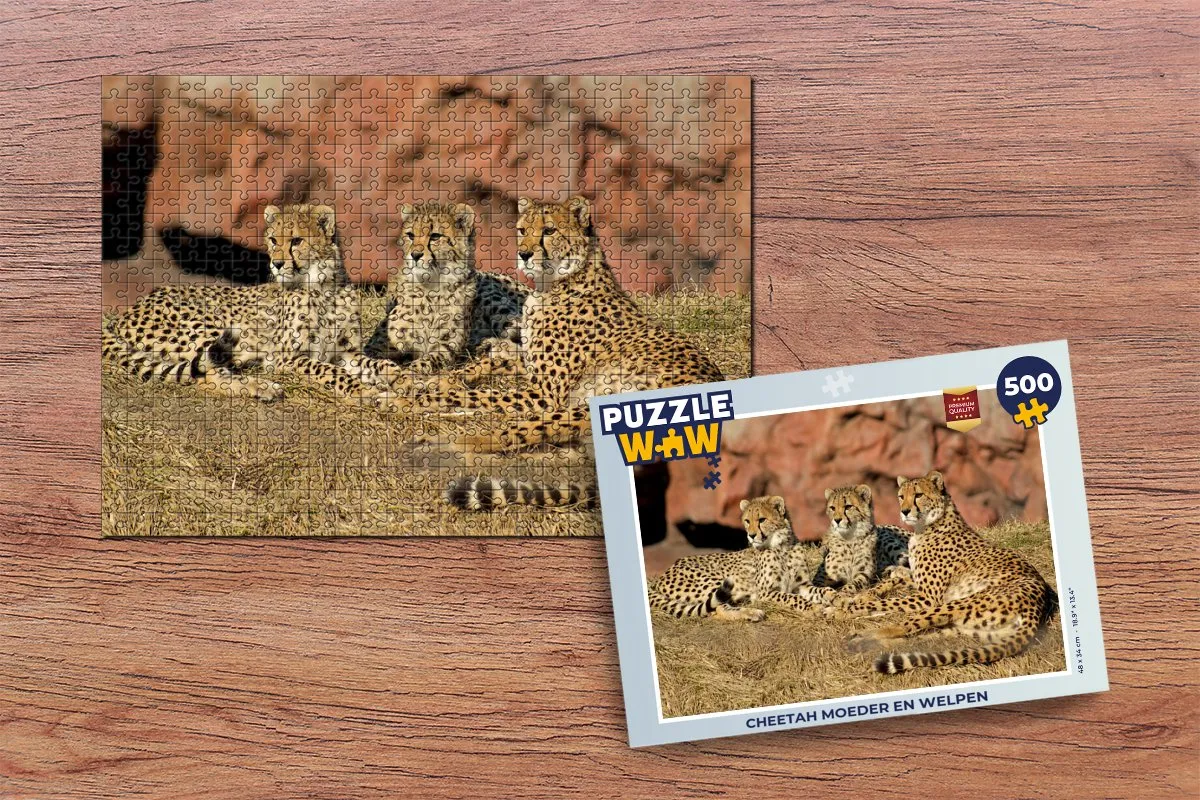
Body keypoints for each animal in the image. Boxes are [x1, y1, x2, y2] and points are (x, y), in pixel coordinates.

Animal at [102, 204, 400, 400]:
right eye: (273, 239)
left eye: (297, 240)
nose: (277, 264)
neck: (323, 287)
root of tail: (131, 308)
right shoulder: (285, 358)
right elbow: (330, 371)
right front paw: (362, 390)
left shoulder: (346, 353)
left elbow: (377, 364)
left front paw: (399, 378)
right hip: (211, 328)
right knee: (205, 375)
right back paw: (261, 388)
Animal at [365, 201, 527, 377]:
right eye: (410, 235)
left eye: (435, 236)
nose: (415, 255)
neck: (431, 288)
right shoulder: (377, 346)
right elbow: (371, 359)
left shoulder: (446, 347)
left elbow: (427, 361)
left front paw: (412, 371)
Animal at [390, 196, 722, 510]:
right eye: (522, 230)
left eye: (549, 231)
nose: (524, 254)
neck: (554, 284)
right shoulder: (529, 368)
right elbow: (485, 366)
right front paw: (416, 381)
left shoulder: (545, 394)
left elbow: (476, 395)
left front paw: (405, 398)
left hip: (593, 408)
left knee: (506, 434)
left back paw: (436, 444)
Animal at [648, 496, 834, 621]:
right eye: (747, 520)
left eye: (762, 519)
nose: (751, 535)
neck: (782, 547)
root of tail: (667, 571)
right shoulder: (765, 592)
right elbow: (792, 598)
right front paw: (813, 607)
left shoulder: (801, 585)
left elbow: (820, 590)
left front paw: (834, 597)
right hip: (717, 580)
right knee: (717, 608)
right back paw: (752, 613)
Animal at [838, 470, 1058, 673]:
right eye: (901, 496)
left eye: (918, 495)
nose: (905, 511)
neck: (927, 526)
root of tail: (1038, 607)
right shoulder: (919, 585)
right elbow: (895, 582)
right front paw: (866, 593)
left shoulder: (929, 598)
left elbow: (888, 603)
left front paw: (844, 608)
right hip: (967, 630)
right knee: (919, 639)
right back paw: (863, 643)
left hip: (955, 604)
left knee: (903, 627)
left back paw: (860, 637)